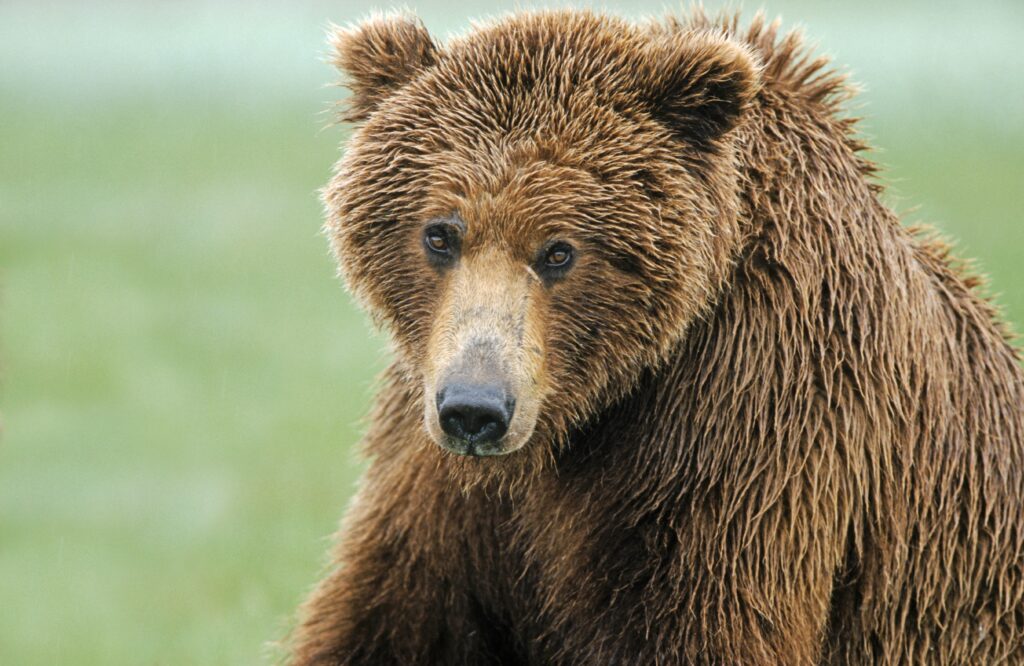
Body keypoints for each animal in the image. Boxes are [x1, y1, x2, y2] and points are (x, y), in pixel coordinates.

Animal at [290, 8, 1024, 665]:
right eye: (440, 233)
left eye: (559, 250)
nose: (476, 409)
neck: (580, 417)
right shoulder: (436, 483)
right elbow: (389, 621)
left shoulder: (749, 431)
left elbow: (701, 625)